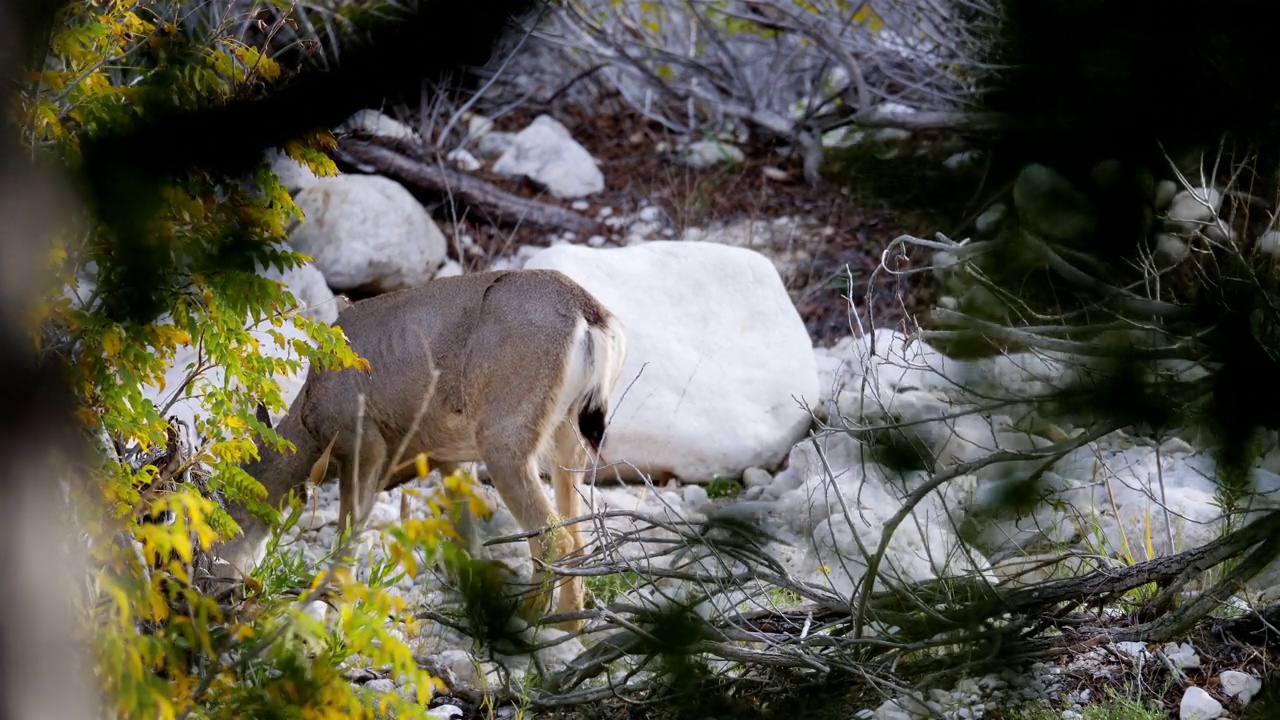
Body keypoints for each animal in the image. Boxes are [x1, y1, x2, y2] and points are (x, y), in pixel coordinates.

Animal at [217, 266, 627, 625]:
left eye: (231, 512)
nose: (224, 588)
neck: (311, 423)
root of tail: (592, 316)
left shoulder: (363, 441)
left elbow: (349, 535)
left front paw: (331, 602)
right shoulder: (449, 459)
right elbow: (467, 540)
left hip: (505, 433)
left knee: (554, 535)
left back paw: (527, 627)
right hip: (569, 436)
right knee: (578, 534)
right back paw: (567, 628)